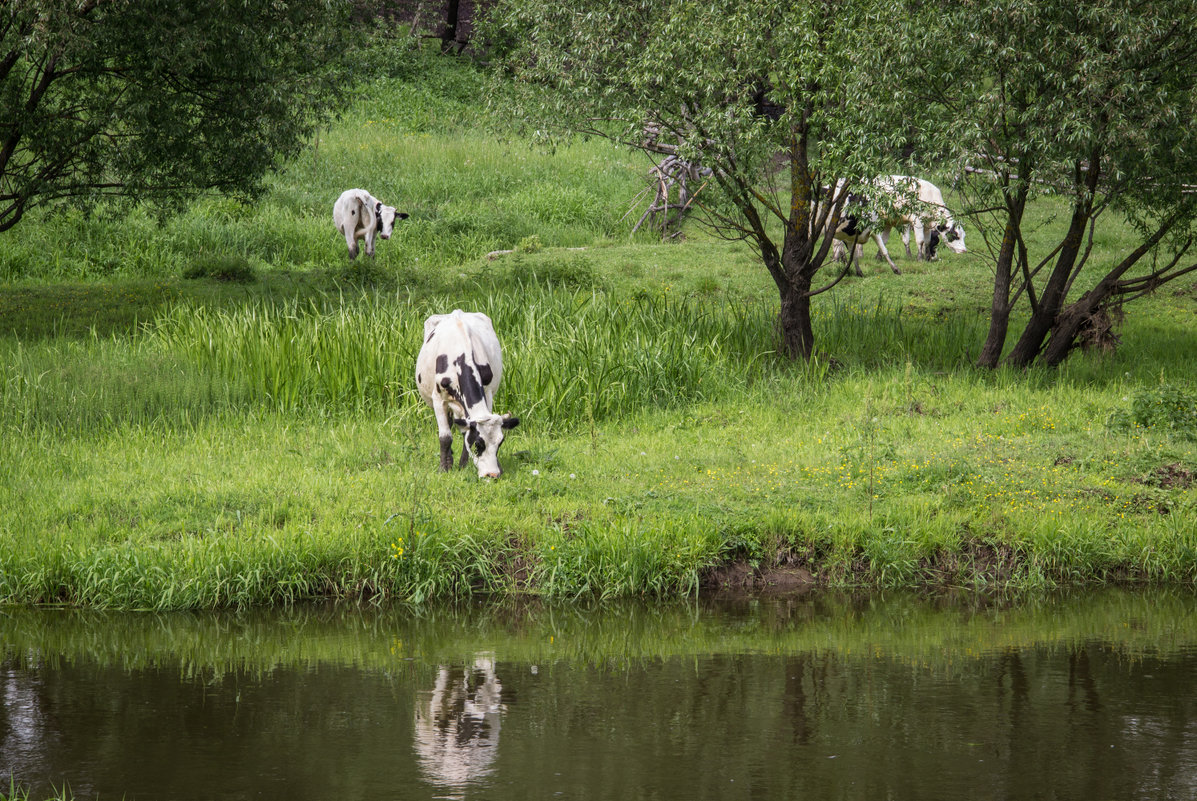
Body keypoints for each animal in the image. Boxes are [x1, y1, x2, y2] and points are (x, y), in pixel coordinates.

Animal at [416, 308, 519, 478]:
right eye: (478, 444)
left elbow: (465, 434)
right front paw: (444, 468)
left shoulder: (488, 392)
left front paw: (463, 465)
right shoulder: (438, 399)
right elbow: (445, 437)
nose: (492, 475)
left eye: (500, 442)